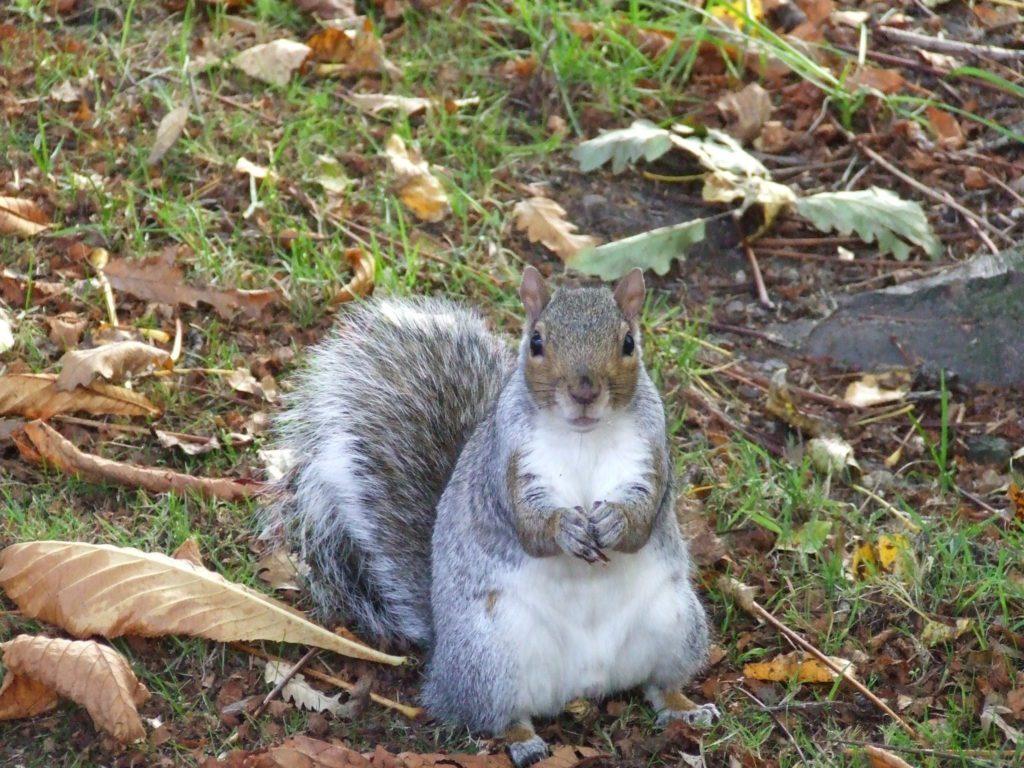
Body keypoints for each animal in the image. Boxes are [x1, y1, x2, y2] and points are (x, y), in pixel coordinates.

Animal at [264, 268, 716, 765]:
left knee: (658, 684)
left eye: (628, 343)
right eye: (536, 342)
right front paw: (567, 530)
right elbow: (530, 526)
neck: (583, 437)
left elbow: (642, 518)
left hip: (676, 623)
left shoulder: (651, 457)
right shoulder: (509, 464)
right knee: (498, 716)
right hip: (491, 655)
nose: (584, 392)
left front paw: (614, 523)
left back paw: (686, 709)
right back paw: (525, 742)